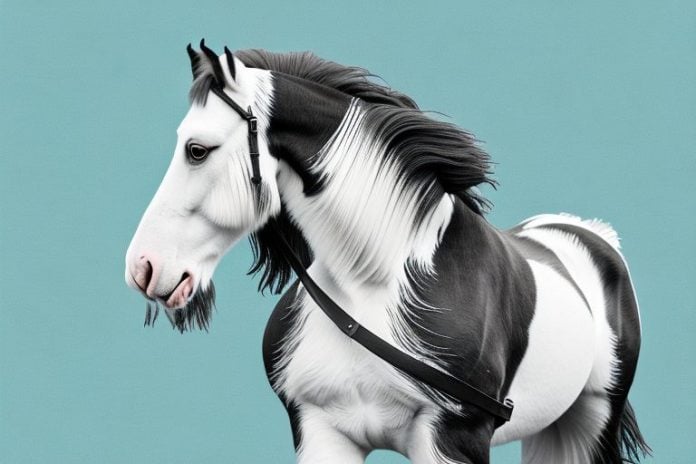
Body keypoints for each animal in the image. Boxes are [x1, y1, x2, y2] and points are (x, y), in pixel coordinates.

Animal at [125, 41, 650, 464]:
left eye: (197, 150)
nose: (143, 267)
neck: (371, 289)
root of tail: (591, 234)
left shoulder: (452, 438)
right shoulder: (319, 431)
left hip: (592, 420)